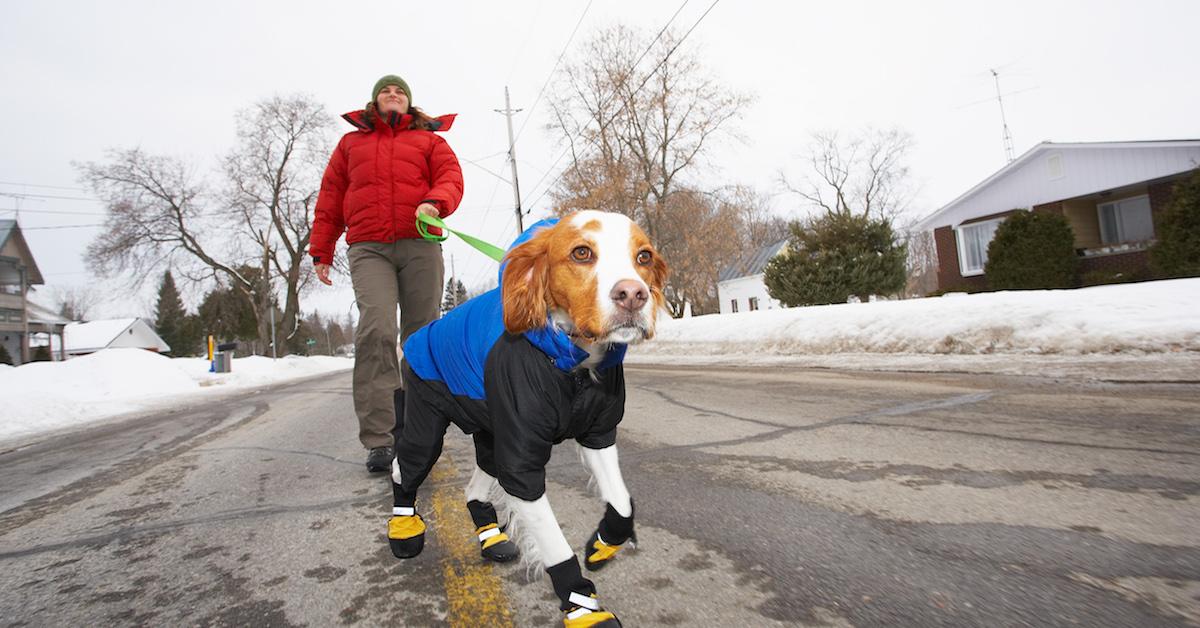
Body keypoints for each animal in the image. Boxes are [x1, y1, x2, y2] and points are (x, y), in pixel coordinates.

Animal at [386, 211, 667, 628]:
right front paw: (584, 608)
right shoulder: (522, 466)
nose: (633, 294)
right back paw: (404, 530)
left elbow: (622, 503)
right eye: (581, 252)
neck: (572, 364)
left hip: (490, 437)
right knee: (402, 469)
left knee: (472, 490)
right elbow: (556, 547)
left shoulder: (598, 434)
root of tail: (420, 335)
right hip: (427, 427)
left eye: (644, 256)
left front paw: (602, 544)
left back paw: (493, 539)